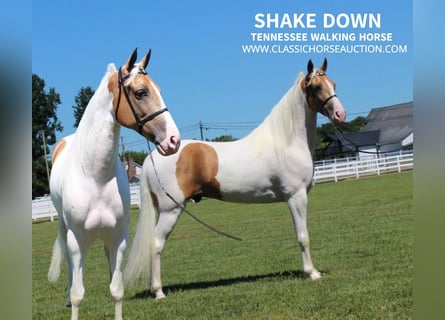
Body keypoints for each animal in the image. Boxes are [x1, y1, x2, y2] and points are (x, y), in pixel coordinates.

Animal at [47, 48, 180, 320]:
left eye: (159, 89)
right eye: (141, 92)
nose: (173, 139)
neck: (95, 178)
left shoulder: (119, 238)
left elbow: (116, 290)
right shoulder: (77, 241)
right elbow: (78, 295)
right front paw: (71, 298)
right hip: (66, 232)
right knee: (69, 266)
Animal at [123, 58, 346, 300]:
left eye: (334, 84)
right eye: (317, 87)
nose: (340, 114)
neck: (286, 141)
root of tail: (152, 157)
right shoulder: (296, 197)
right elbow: (303, 236)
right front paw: (312, 273)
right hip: (170, 210)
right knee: (156, 244)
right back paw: (158, 292)